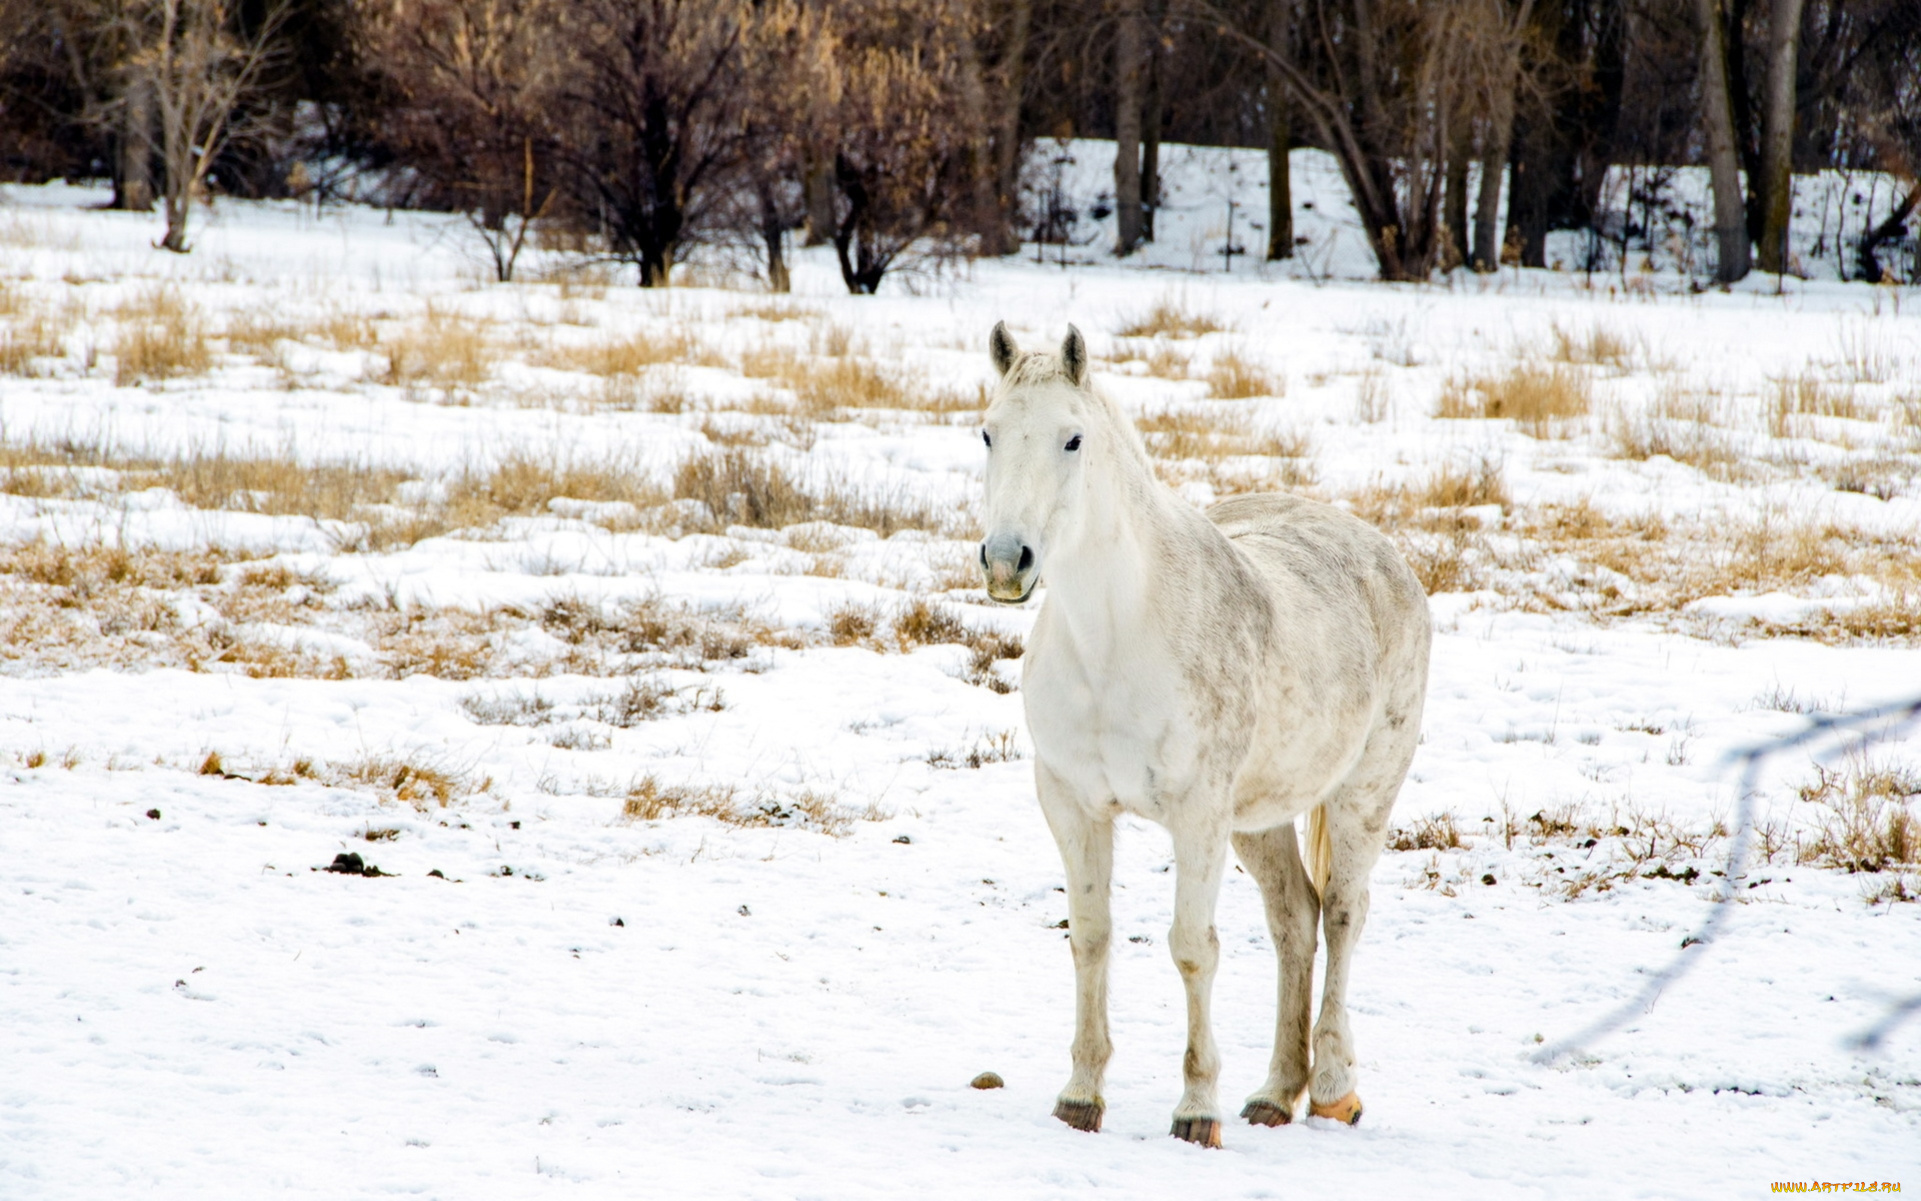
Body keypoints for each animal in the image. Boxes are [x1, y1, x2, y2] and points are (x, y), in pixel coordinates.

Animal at [983, 322, 1436, 1145]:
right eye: (988, 432)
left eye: (1073, 438)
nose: (1006, 562)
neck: (1115, 635)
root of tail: (1381, 551)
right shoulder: (1072, 804)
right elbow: (1090, 937)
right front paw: (1081, 1096)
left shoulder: (1196, 816)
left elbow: (1193, 949)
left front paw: (1196, 1109)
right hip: (1257, 819)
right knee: (1295, 919)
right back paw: (1274, 1093)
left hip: (1362, 793)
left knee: (1343, 914)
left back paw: (1330, 1087)